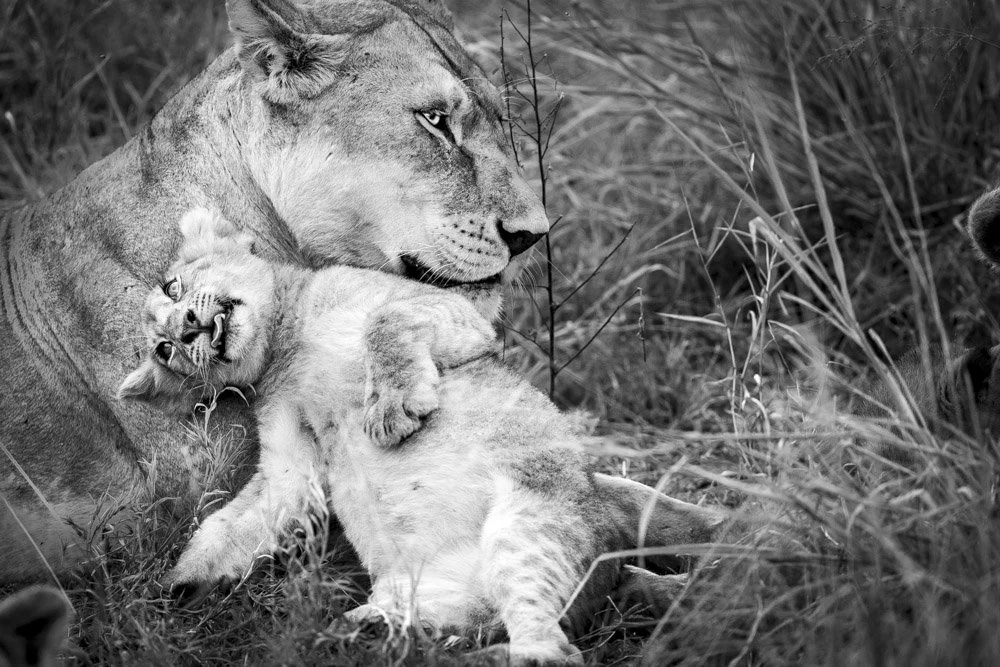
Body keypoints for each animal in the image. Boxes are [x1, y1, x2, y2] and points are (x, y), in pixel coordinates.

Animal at [117, 208, 725, 665]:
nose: (183, 330)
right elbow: (240, 519)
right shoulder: (290, 461)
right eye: (163, 351)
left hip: (531, 524)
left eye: (174, 286)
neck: (285, 347)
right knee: (481, 631)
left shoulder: (451, 309)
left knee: (553, 648)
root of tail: (607, 570)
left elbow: (384, 325)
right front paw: (175, 586)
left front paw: (391, 412)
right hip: (427, 591)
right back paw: (367, 634)